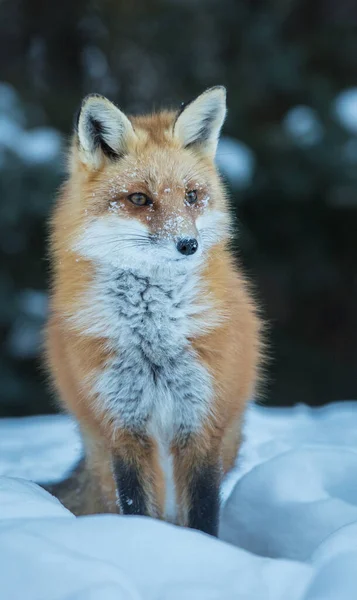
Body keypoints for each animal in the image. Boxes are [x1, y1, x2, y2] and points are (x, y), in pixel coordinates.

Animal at [45, 86, 262, 536]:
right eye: (139, 199)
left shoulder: (200, 425)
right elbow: (138, 508)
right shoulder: (124, 428)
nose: (188, 244)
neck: (153, 339)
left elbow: (202, 515)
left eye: (192, 196)